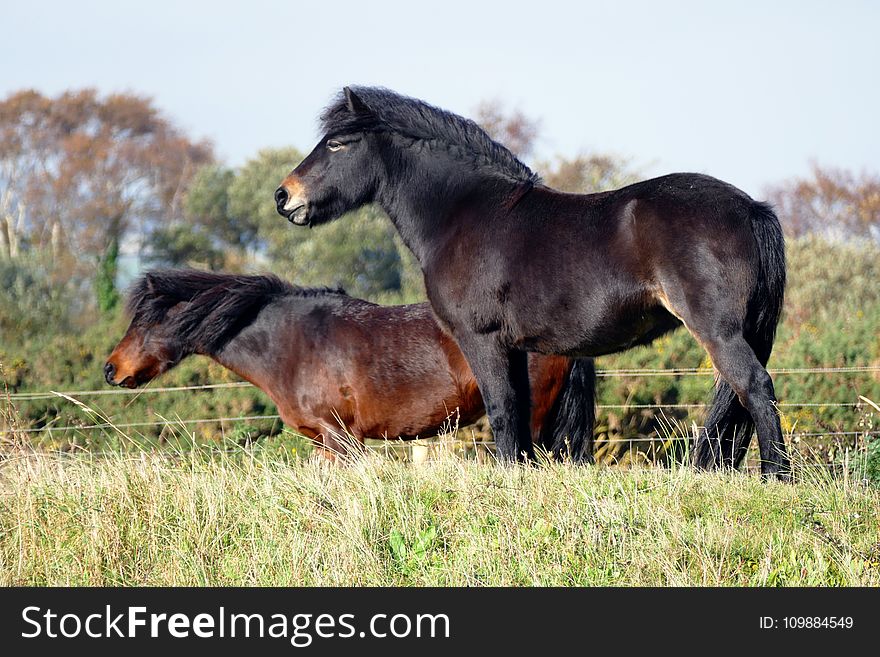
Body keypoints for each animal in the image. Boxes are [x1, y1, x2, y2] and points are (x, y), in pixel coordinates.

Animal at [276, 86, 792, 476]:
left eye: (338, 143)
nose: (284, 196)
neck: (465, 214)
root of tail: (750, 208)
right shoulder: (518, 348)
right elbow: (520, 420)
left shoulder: (482, 340)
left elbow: (503, 412)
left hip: (718, 331)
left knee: (756, 387)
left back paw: (777, 476)